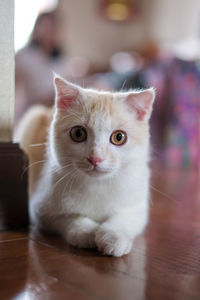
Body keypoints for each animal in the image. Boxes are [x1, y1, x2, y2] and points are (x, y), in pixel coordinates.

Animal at [16, 74, 155, 255]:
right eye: (78, 133)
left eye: (119, 137)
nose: (95, 158)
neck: (97, 185)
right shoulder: (40, 209)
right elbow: (68, 217)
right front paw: (86, 232)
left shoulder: (138, 207)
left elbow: (125, 218)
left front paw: (113, 237)